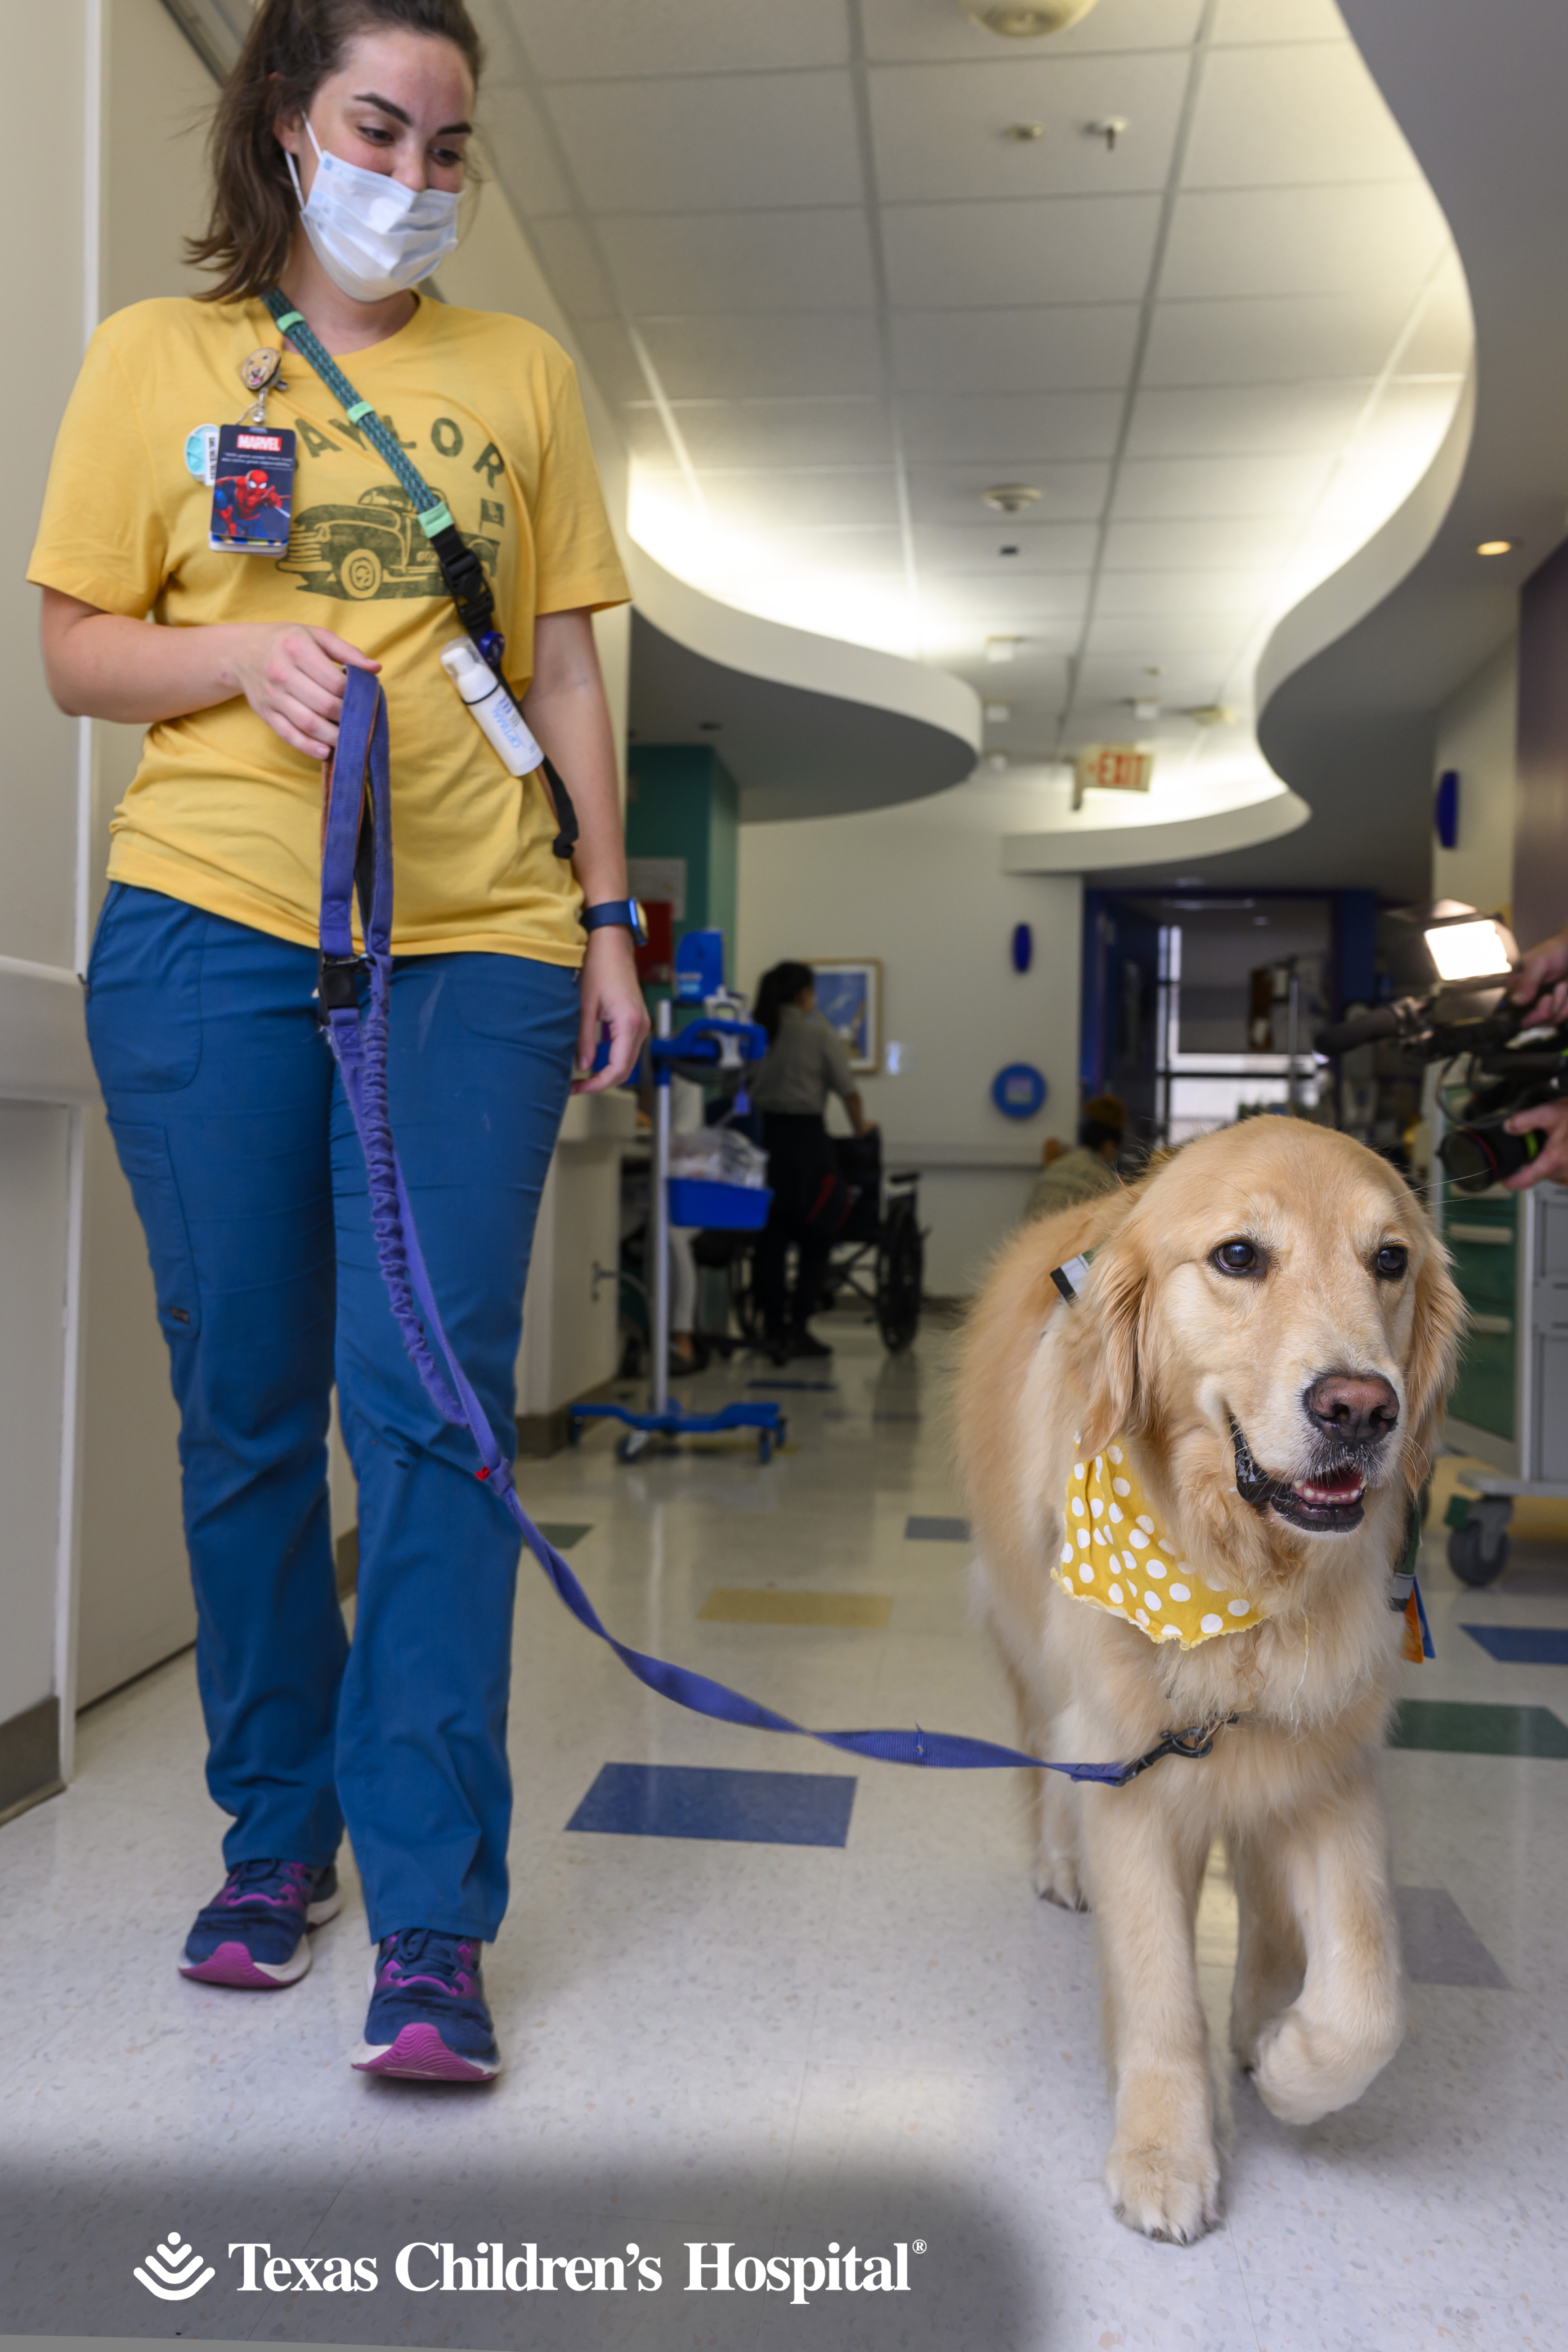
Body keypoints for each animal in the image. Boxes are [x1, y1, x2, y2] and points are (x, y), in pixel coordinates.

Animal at [959, 1120, 1457, 2239]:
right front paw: (1163, 2152)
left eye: (1390, 1259)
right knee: (1052, 1755)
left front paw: (1288, 2058)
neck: (1238, 1578)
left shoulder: (1326, 1758)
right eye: (1239, 1256)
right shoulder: (1136, 1772)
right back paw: (1064, 1862)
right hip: (1035, 1649)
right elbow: (1158, 1990)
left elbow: (1369, 1991)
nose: (1362, 1407)